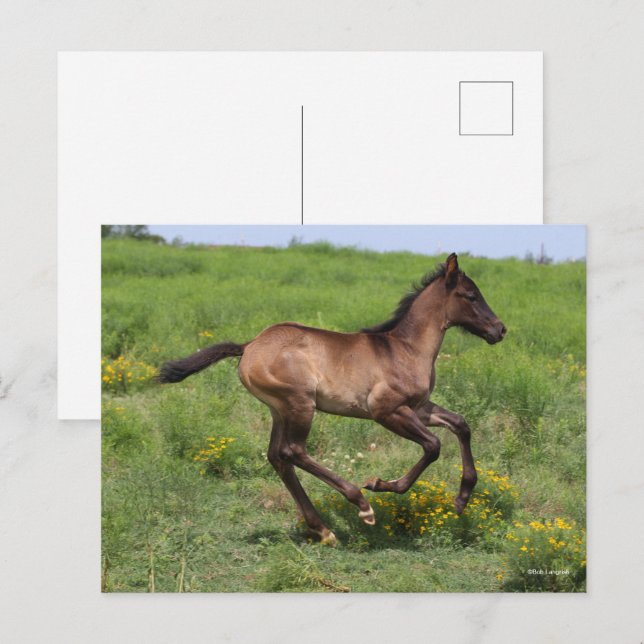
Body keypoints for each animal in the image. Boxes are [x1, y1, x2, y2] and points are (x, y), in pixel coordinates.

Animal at [158, 253, 506, 545]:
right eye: (471, 296)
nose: (500, 329)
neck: (405, 349)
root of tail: (249, 346)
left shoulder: (419, 408)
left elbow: (461, 424)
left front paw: (462, 499)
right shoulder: (387, 411)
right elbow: (433, 446)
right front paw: (380, 484)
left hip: (279, 410)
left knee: (277, 457)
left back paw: (323, 529)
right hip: (300, 404)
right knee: (293, 451)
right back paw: (360, 504)